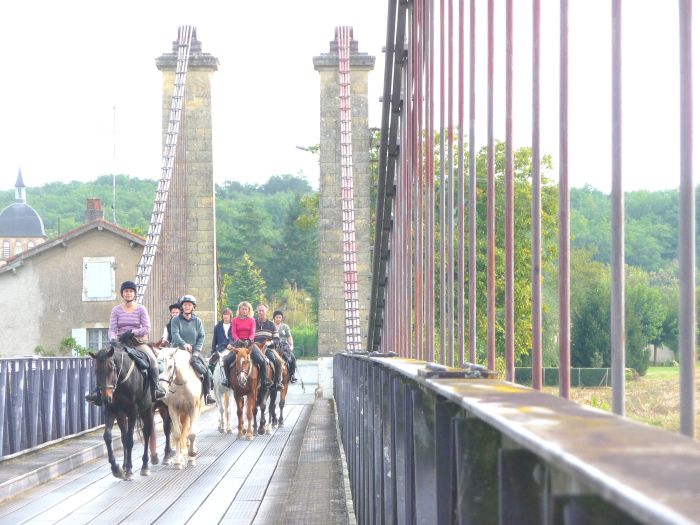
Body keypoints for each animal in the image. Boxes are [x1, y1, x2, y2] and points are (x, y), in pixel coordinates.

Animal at [88, 344, 154, 478]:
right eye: (96, 371)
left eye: (111, 369)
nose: (106, 398)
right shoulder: (111, 410)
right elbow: (108, 437)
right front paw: (116, 468)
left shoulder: (133, 412)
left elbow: (129, 440)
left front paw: (129, 470)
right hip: (121, 415)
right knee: (124, 436)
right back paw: (124, 465)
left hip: (147, 410)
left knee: (146, 433)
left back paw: (144, 466)